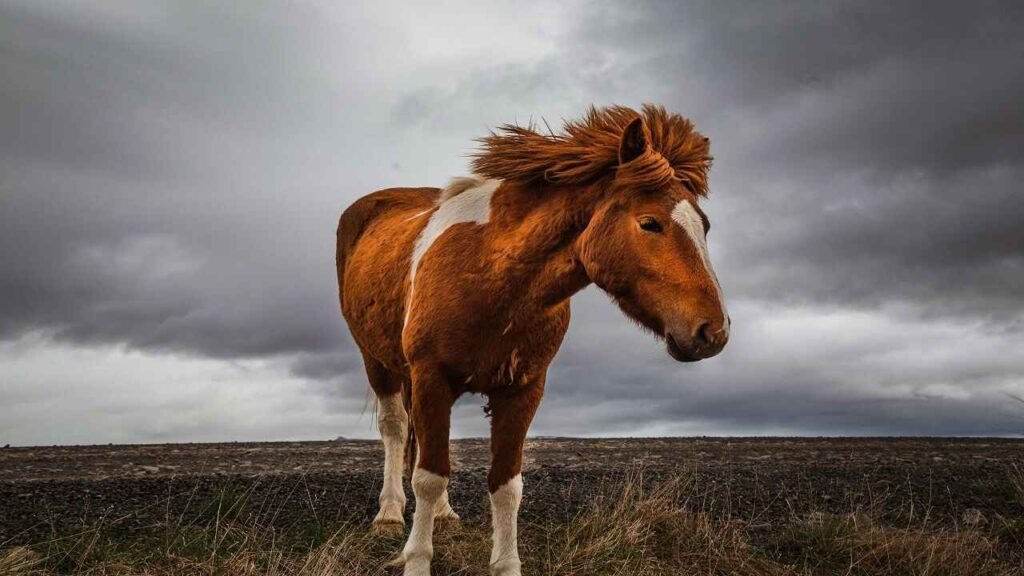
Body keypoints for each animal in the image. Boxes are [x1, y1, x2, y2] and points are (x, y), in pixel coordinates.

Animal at [335, 104, 729, 573]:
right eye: (650, 223)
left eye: (706, 225)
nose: (714, 331)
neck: (492, 273)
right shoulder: (431, 376)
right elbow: (428, 477)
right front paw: (416, 560)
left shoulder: (523, 388)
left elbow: (505, 485)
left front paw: (505, 562)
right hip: (378, 362)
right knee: (396, 430)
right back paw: (390, 513)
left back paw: (444, 514)